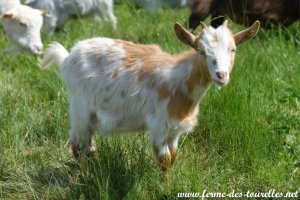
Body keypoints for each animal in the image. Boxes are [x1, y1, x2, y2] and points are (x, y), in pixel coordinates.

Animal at [41, 20, 260, 178]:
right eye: (201, 51)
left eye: (233, 49)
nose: (221, 75)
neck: (178, 81)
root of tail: (67, 57)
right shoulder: (159, 126)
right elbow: (164, 161)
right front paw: (166, 187)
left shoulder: (174, 130)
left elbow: (173, 157)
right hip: (80, 107)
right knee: (77, 144)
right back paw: (85, 174)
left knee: (89, 144)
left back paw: (95, 169)